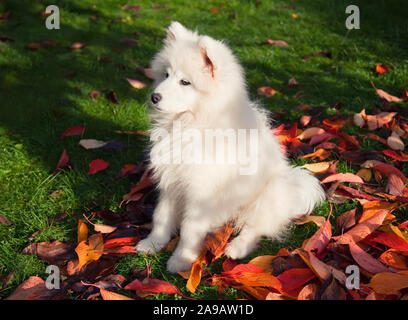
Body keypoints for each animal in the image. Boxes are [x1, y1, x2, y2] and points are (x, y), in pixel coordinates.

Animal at [136, 21, 326, 272]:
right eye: (165, 74)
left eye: (185, 82)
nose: (154, 97)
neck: (191, 122)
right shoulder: (171, 181)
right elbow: (161, 217)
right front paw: (152, 243)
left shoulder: (201, 191)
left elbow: (189, 230)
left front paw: (181, 261)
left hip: (269, 193)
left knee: (256, 228)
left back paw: (236, 248)